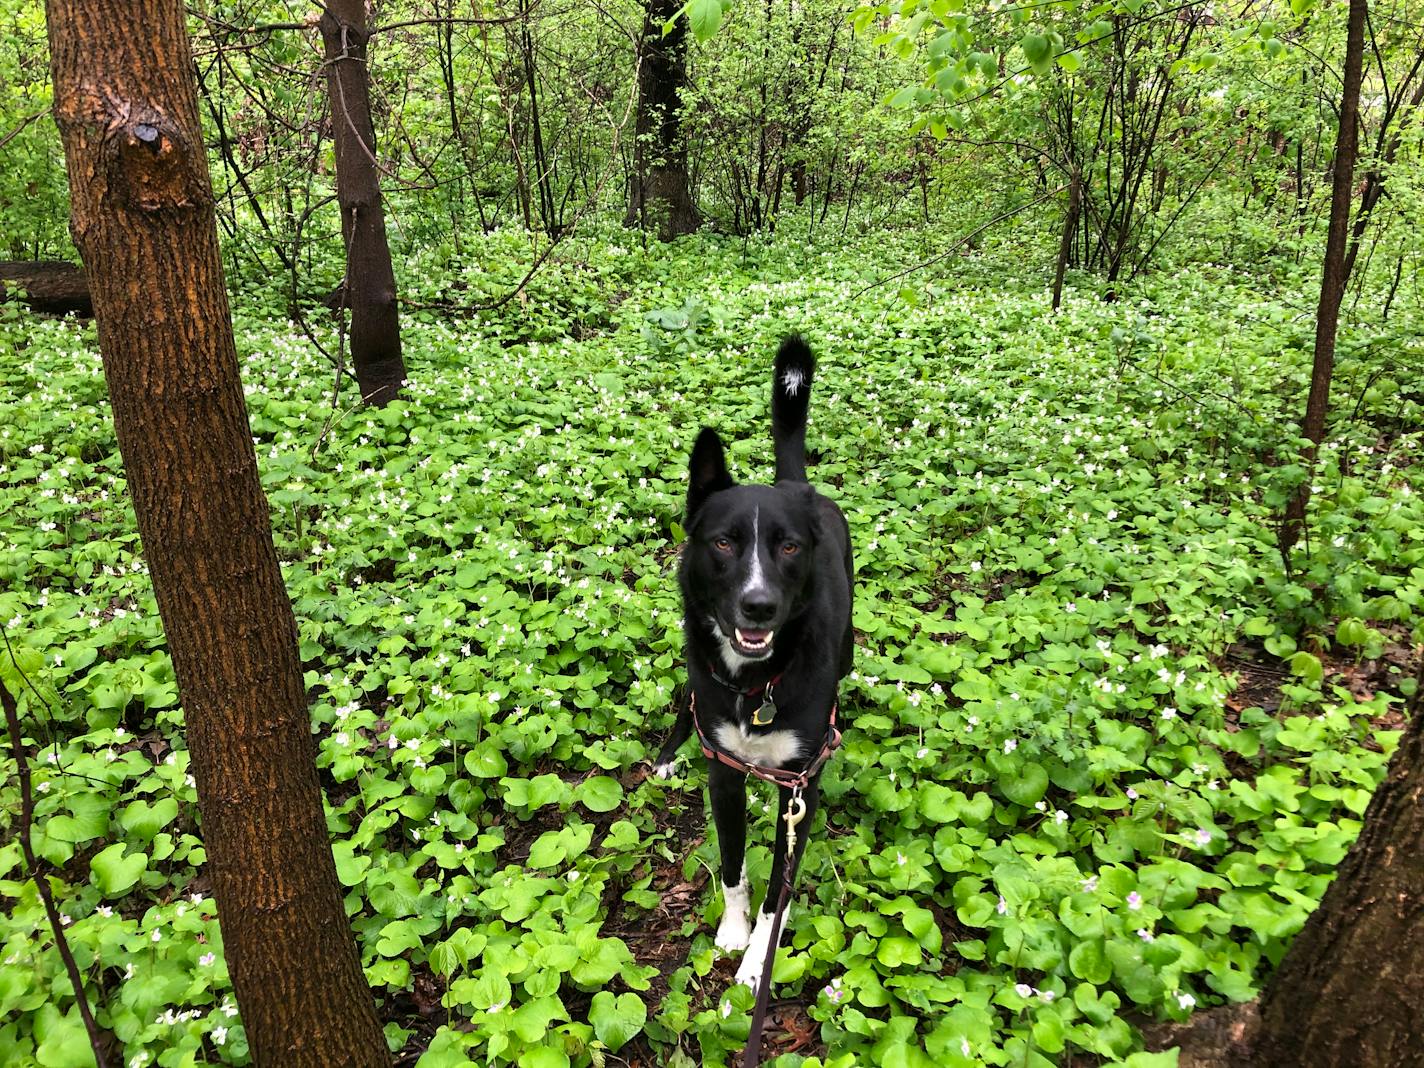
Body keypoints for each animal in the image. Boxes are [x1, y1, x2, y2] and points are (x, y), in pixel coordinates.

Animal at [652, 338, 848, 991]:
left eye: (788, 546)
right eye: (723, 542)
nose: (758, 605)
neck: (756, 684)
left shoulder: (799, 789)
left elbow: (777, 894)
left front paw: (759, 959)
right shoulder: (725, 774)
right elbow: (735, 866)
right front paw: (733, 933)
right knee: (686, 705)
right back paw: (667, 755)